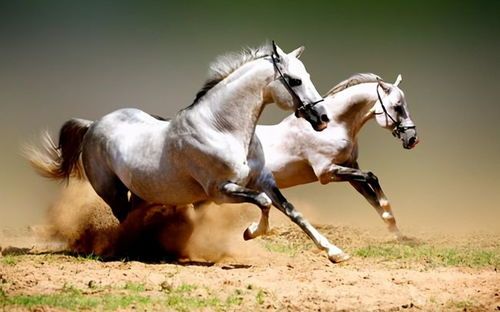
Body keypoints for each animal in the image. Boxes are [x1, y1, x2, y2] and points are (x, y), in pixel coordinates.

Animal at [27, 43, 356, 264]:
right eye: (295, 80)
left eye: (307, 75)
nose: (323, 118)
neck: (222, 128)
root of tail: (93, 125)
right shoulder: (220, 191)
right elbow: (262, 204)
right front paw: (250, 232)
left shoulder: (263, 180)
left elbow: (292, 211)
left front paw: (335, 252)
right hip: (112, 192)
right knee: (124, 221)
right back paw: (135, 250)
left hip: (142, 193)